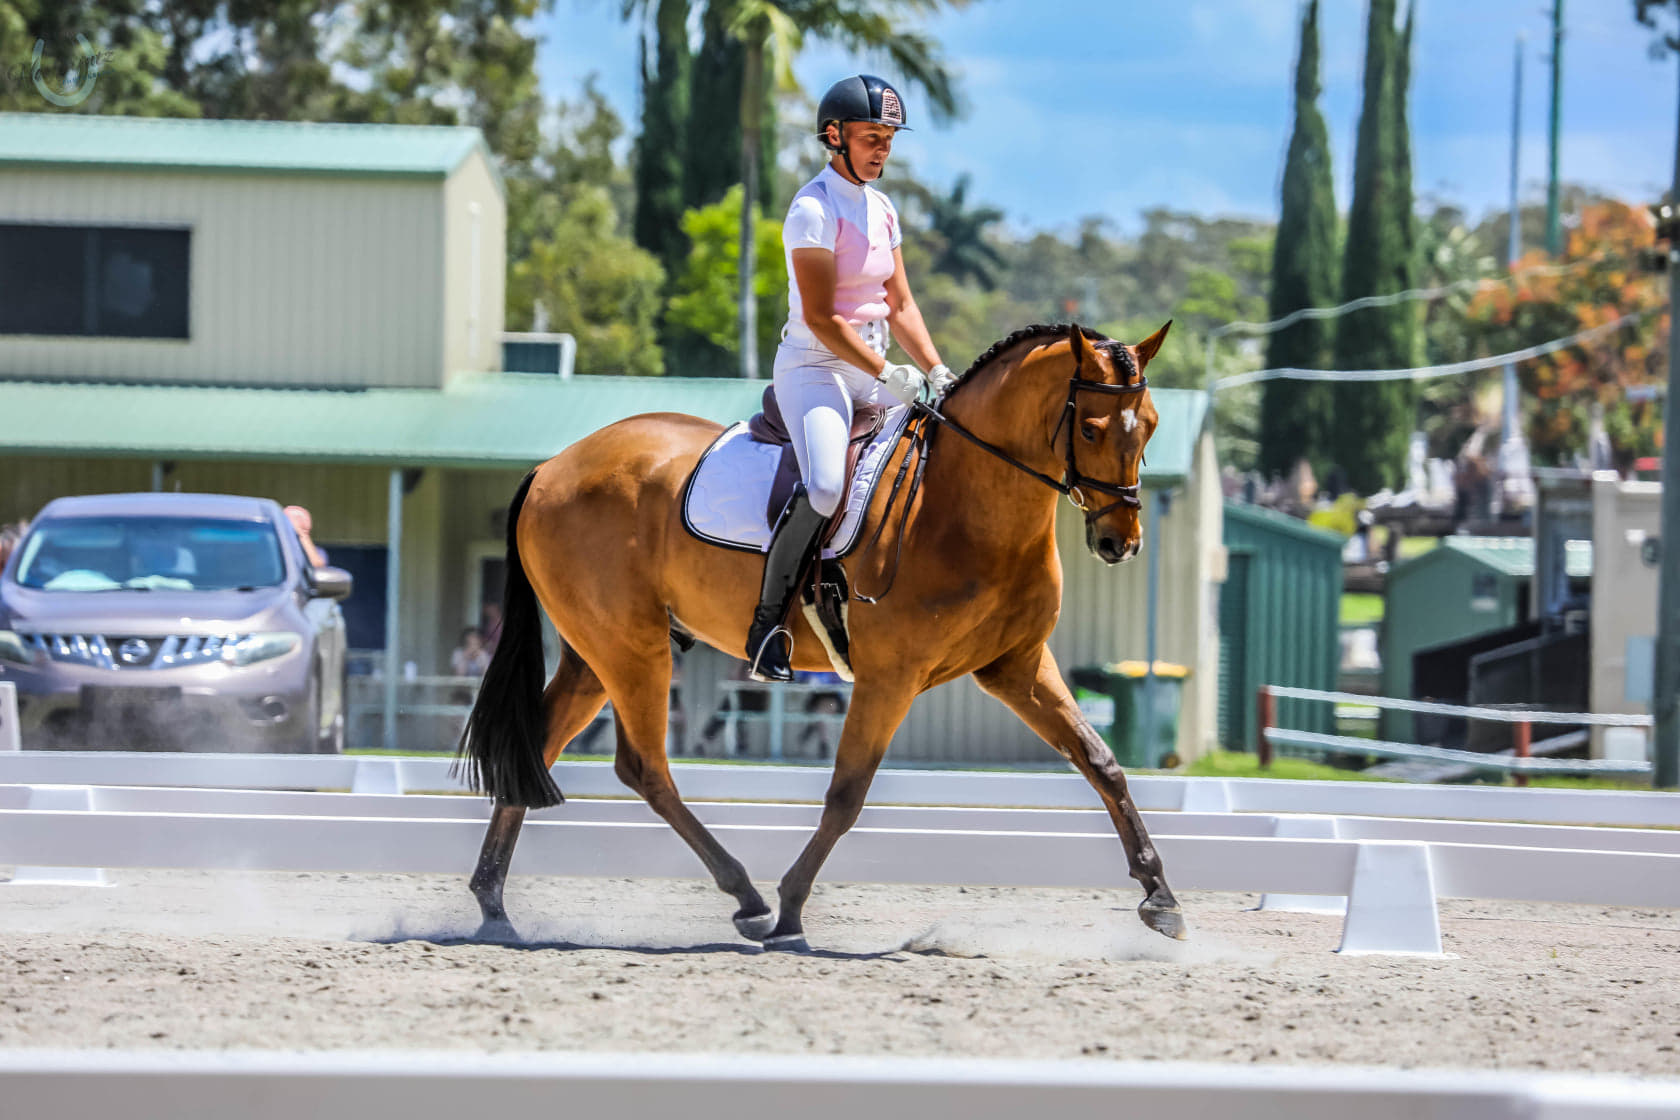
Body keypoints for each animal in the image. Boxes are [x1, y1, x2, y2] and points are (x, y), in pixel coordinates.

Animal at [456, 319, 1182, 953]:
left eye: (1148, 424)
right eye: (1090, 427)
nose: (1121, 543)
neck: (964, 504)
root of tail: (554, 465)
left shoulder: (1017, 666)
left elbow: (1101, 762)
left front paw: (1161, 899)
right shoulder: (892, 676)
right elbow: (846, 794)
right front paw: (791, 911)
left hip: (595, 651)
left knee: (540, 745)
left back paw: (493, 906)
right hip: (633, 649)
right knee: (644, 767)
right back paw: (747, 899)